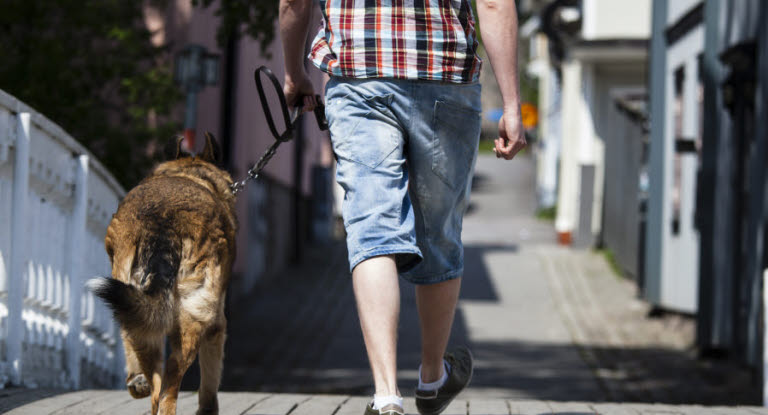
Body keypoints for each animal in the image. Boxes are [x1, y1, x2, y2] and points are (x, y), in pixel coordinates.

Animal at [89, 133, 236, 415]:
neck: (190, 173)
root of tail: (162, 223)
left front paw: (136, 381)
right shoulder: (217, 325)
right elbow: (210, 381)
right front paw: (207, 409)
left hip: (132, 306)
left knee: (156, 387)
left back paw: (140, 383)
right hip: (193, 320)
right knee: (170, 387)